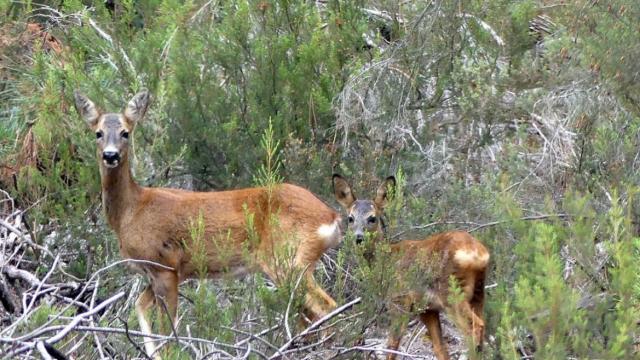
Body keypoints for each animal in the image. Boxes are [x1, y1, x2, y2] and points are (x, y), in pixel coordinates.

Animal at [73, 89, 342, 358]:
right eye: (98, 132)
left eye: (125, 132)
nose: (110, 155)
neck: (132, 210)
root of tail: (331, 216)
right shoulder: (167, 273)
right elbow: (140, 308)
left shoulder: (164, 266)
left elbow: (168, 335)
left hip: (287, 260)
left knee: (328, 307)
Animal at [332, 174, 488, 360]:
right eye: (350, 218)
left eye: (372, 218)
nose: (359, 238)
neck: (386, 260)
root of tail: (477, 252)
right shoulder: (427, 309)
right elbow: (440, 348)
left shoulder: (399, 300)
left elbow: (392, 344)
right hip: (478, 293)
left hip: (451, 293)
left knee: (475, 327)